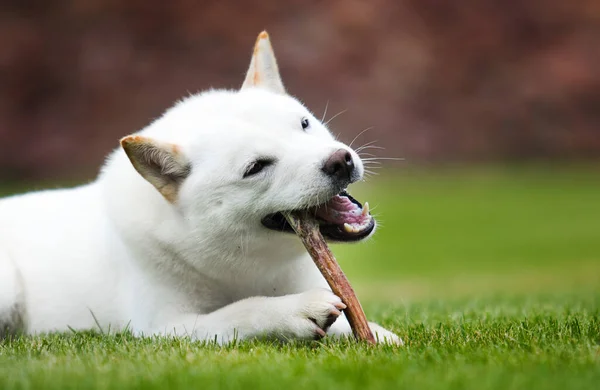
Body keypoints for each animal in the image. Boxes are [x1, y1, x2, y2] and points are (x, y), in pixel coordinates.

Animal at [1, 32, 404, 344]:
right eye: (256, 167)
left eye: (304, 124)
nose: (340, 161)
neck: (247, 263)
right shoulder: (161, 329)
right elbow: (241, 311)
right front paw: (292, 311)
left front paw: (375, 334)